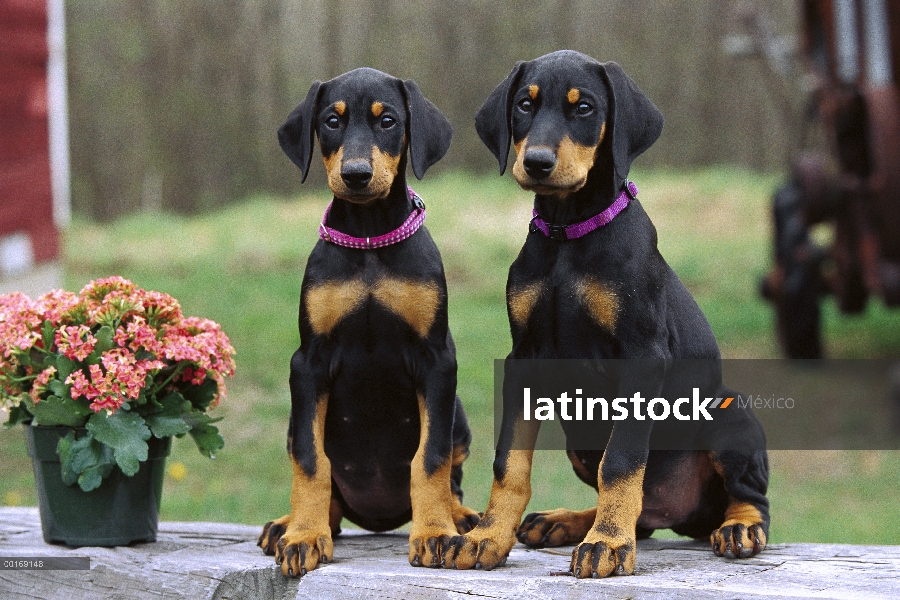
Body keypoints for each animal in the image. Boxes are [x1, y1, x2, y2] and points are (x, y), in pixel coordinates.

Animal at [256, 68, 482, 580]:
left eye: (388, 121)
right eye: (331, 120)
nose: (356, 175)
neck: (369, 238)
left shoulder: (437, 360)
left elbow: (431, 458)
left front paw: (435, 532)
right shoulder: (308, 363)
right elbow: (310, 459)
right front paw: (304, 536)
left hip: (458, 412)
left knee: (453, 473)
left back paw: (458, 516)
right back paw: (290, 524)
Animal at [446, 50, 768, 576]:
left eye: (584, 108)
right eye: (524, 105)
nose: (536, 163)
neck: (568, 233)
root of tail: (684, 514)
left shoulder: (642, 358)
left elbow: (621, 460)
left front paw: (609, 544)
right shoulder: (524, 358)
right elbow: (509, 461)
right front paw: (487, 537)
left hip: (729, 410)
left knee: (750, 497)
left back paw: (738, 527)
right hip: (579, 439)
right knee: (639, 512)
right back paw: (567, 521)